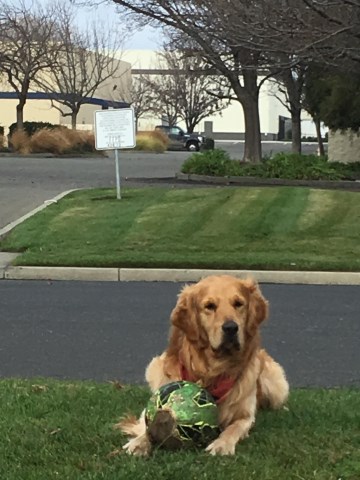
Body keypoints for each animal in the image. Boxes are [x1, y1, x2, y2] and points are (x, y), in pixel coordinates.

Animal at [119, 276, 288, 456]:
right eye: (209, 306)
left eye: (238, 304)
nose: (231, 328)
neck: (212, 371)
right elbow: (147, 424)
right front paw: (140, 442)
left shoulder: (246, 416)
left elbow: (234, 428)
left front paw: (222, 444)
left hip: (276, 387)